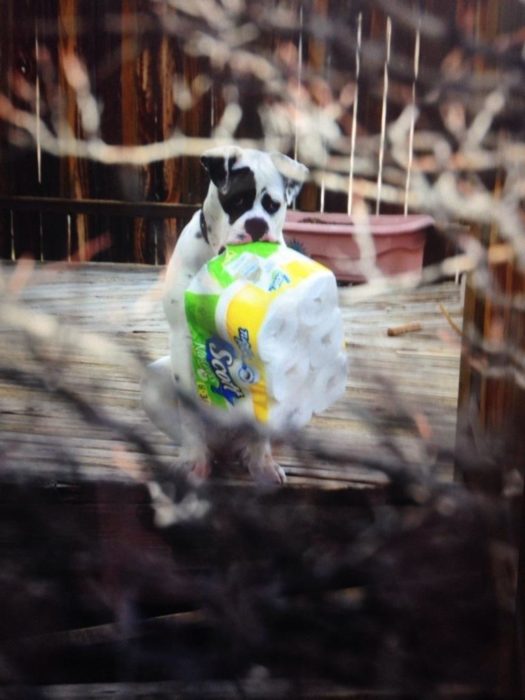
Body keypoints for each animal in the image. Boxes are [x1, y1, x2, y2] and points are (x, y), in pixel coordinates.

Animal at [141, 145, 310, 484]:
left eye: (273, 206)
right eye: (236, 202)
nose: (257, 224)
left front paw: (262, 462)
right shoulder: (183, 337)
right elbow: (190, 415)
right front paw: (194, 461)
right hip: (155, 379)